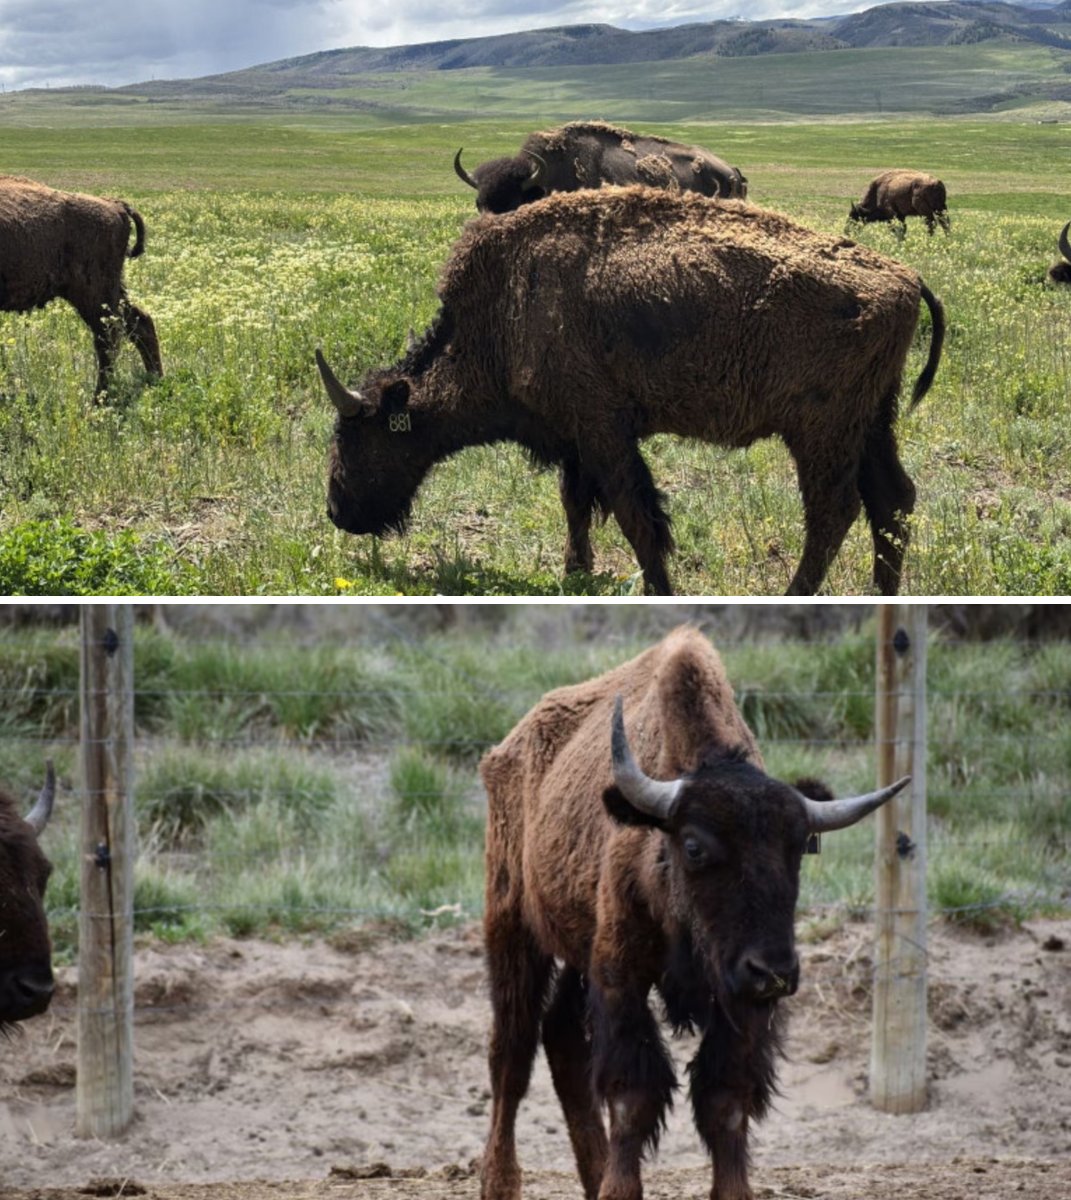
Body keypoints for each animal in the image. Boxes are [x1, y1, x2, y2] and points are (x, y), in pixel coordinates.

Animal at [0, 174, 162, 398]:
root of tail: (115, 205)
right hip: (109, 290)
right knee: (139, 322)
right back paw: (155, 380)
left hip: (93, 293)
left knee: (108, 337)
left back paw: (99, 398)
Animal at [316, 187, 944, 596]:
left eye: (361, 439)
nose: (337, 512)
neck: (504, 311)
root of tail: (906, 278)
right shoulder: (575, 436)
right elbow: (576, 504)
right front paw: (574, 573)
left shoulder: (603, 431)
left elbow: (636, 516)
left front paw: (657, 590)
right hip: (873, 420)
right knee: (892, 499)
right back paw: (884, 594)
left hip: (821, 431)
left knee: (834, 511)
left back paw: (795, 595)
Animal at [478, 626, 908, 1200]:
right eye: (695, 846)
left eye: (799, 848)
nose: (774, 971)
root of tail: (507, 748)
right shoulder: (621, 975)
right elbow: (632, 1094)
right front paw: (620, 1190)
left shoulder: (738, 1000)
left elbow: (724, 1100)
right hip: (512, 926)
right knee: (513, 1051)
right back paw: (500, 1182)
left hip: (575, 949)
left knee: (561, 1037)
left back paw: (592, 1175)